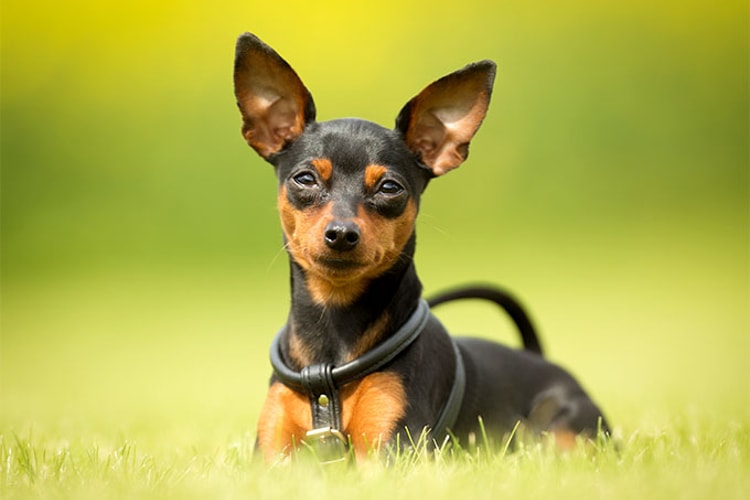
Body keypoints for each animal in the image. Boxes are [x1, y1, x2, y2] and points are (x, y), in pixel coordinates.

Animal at [235, 32, 612, 460]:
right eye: (305, 179)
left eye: (390, 188)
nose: (342, 233)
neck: (331, 334)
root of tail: (539, 358)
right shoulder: (272, 452)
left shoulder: (391, 448)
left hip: (567, 429)